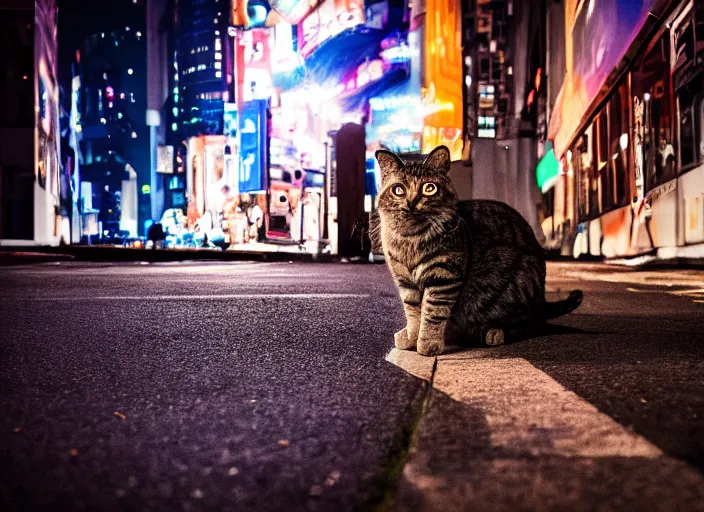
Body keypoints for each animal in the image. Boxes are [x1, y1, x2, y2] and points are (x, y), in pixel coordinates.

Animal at [374, 145, 584, 356]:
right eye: (399, 190)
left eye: (429, 188)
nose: (411, 202)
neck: (410, 239)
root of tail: (541, 301)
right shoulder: (405, 282)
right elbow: (413, 313)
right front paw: (412, 336)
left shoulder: (444, 277)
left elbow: (432, 312)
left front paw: (428, 342)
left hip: (513, 287)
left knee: (533, 324)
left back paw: (491, 332)